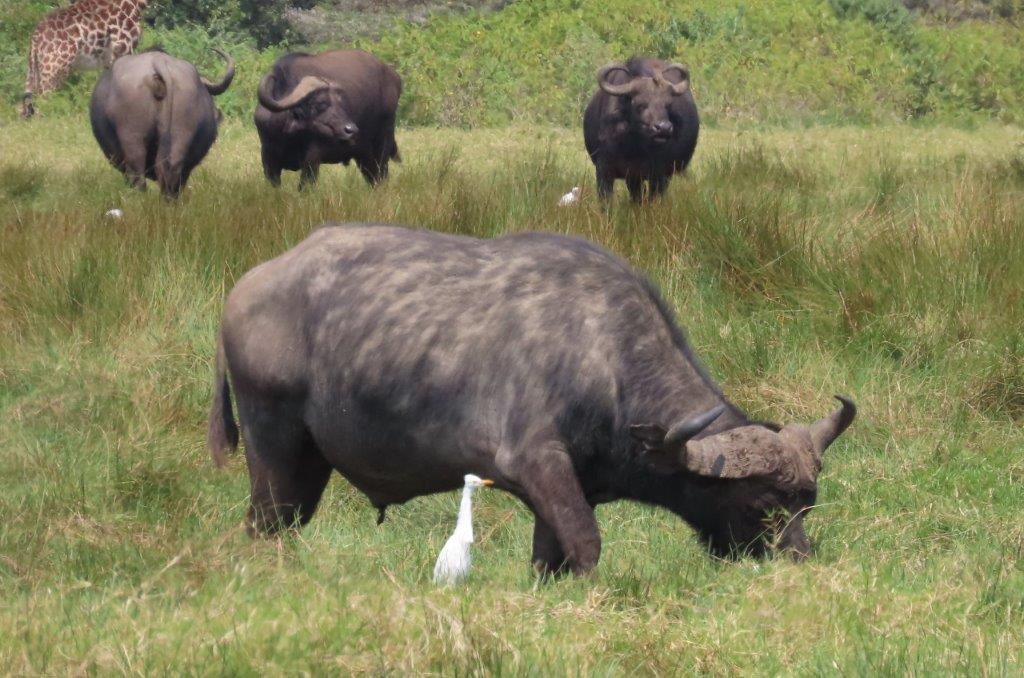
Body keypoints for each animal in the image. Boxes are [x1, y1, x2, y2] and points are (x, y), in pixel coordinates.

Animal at [208, 224, 855, 575]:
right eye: (760, 503)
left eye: (807, 503)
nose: (797, 559)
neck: (603, 359)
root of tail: (246, 290)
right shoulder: (535, 462)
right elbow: (587, 545)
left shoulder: (563, 487)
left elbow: (551, 558)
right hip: (274, 452)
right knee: (265, 527)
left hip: (310, 466)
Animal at [255, 49, 401, 189]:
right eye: (320, 103)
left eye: (340, 102)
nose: (350, 129)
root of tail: (394, 77)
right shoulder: (268, 159)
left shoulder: (312, 158)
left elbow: (304, 186)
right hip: (364, 154)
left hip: (383, 143)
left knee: (381, 175)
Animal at [583, 57, 700, 202]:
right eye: (640, 105)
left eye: (668, 105)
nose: (664, 128)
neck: (635, 148)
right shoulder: (604, 170)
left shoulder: (660, 173)